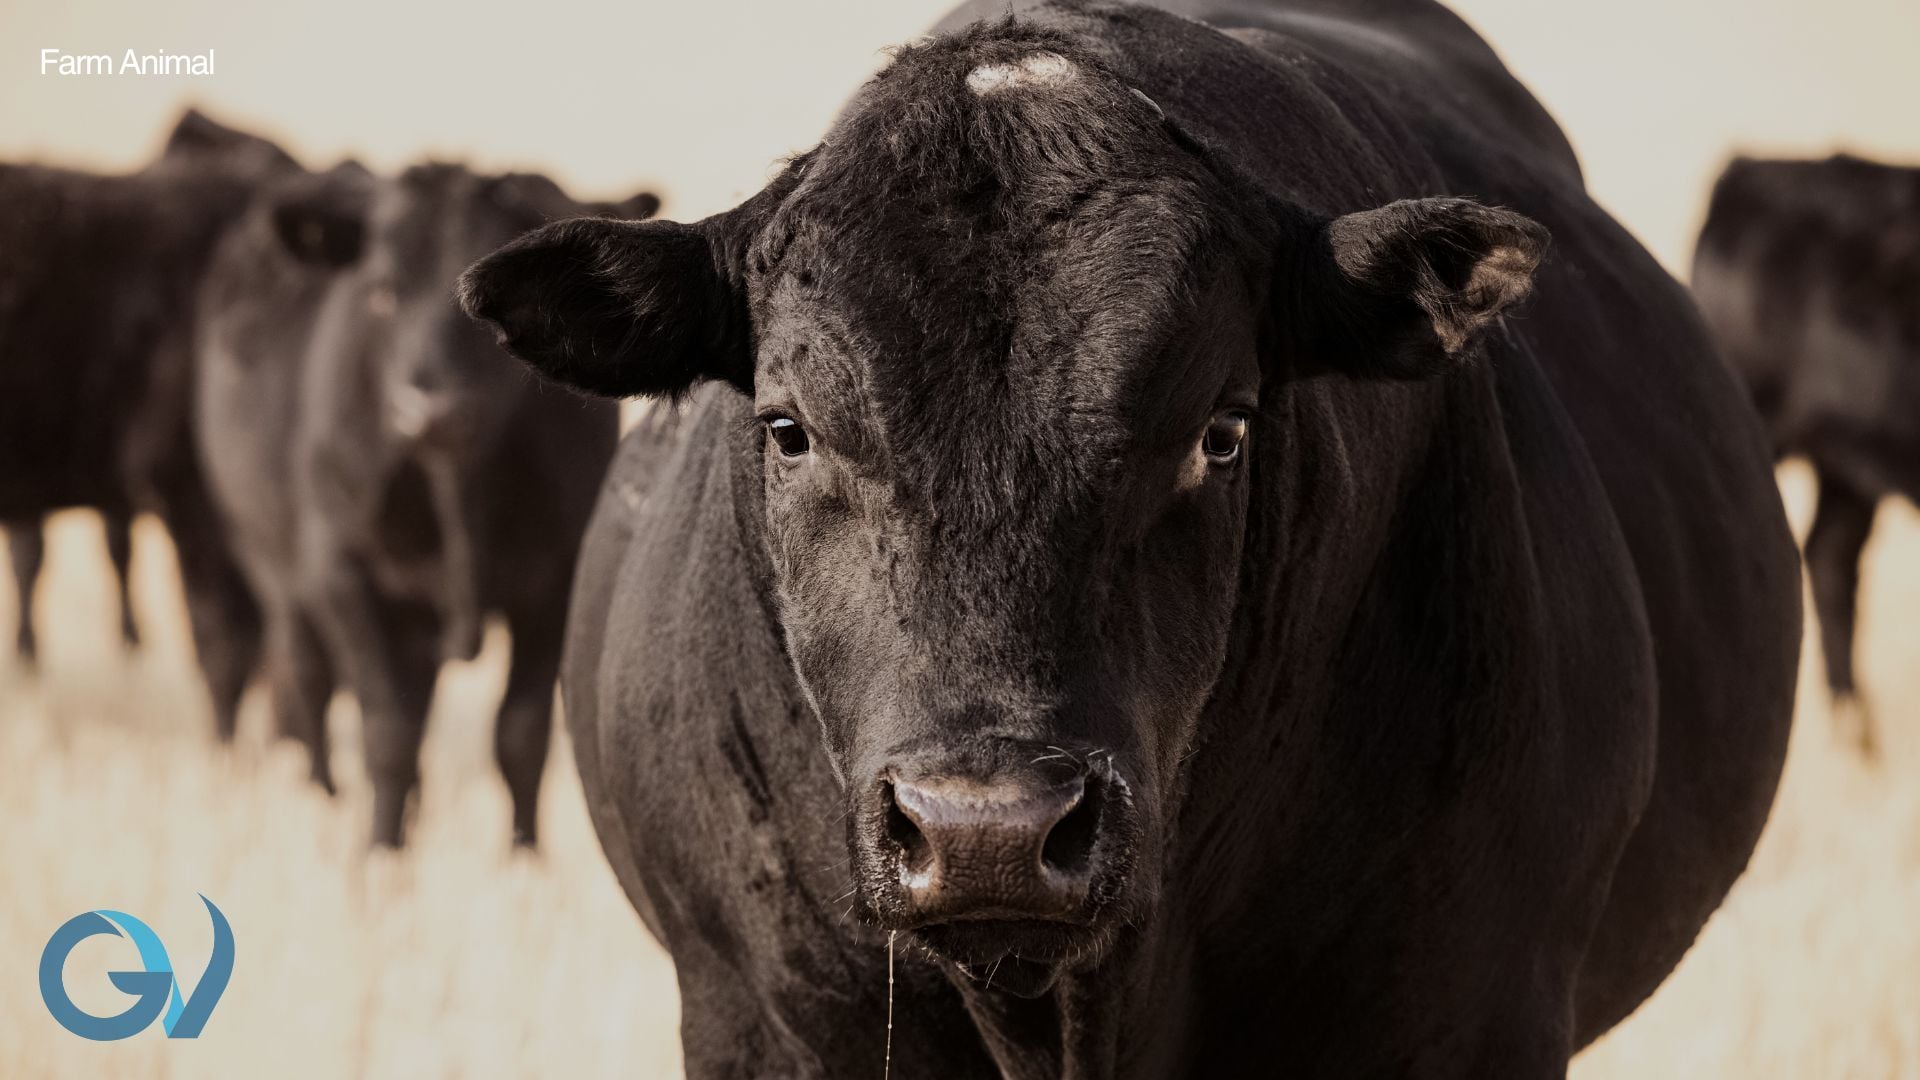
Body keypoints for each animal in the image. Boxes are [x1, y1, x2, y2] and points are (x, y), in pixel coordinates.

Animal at [196, 161, 655, 845]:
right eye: (383, 290)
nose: (431, 409)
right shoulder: (346, 577)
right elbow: (389, 730)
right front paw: (380, 852)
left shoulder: (552, 584)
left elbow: (521, 736)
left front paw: (523, 856)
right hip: (272, 568)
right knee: (306, 680)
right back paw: (324, 800)